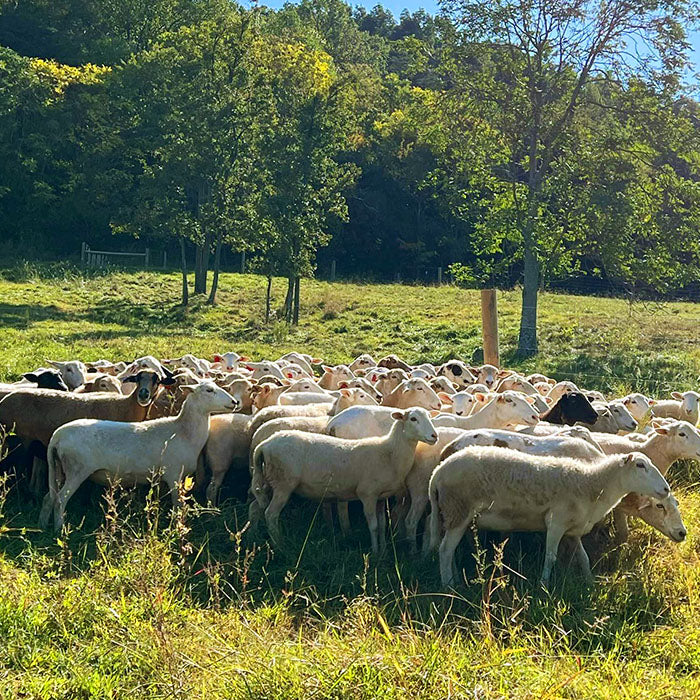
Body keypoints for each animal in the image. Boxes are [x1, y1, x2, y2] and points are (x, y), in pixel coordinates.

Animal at [249, 404, 438, 552]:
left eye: (429, 417)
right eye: (413, 418)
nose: (434, 436)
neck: (389, 452)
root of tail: (264, 445)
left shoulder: (381, 497)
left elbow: (383, 525)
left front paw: (384, 550)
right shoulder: (367, 494)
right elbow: (374, 526)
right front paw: (375, 552)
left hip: (269, 481)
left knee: (256, 507)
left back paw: (254, 535)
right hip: (283, 484)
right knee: (271, 514)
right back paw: (279, 545)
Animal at [430, 446, 668, 588]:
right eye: (640, 465)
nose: (666, 489)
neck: (591, 485)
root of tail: (438, 472)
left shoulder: (573, 530)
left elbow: (583, 557)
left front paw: (589, 581)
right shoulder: (556, 523)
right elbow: (550, 557)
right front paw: (544, 585)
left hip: (451, 514)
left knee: (448, 550)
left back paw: (454, 579)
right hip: (458, 510)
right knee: (445, 550)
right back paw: (449, 586)